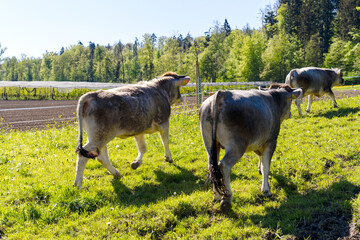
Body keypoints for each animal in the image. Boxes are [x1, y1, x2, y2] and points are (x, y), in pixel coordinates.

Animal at [198, 85, 302, 213]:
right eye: (291, 101)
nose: (291, 114)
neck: (274, 99)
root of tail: (222, 94)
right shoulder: (271, 140)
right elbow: (266, 166)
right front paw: (266, 191)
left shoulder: (259, 142)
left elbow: (261, 159)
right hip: (236, 146)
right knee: (224, 166)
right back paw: (227, 200)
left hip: (210, 144)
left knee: (212, 166)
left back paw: (217, 195)